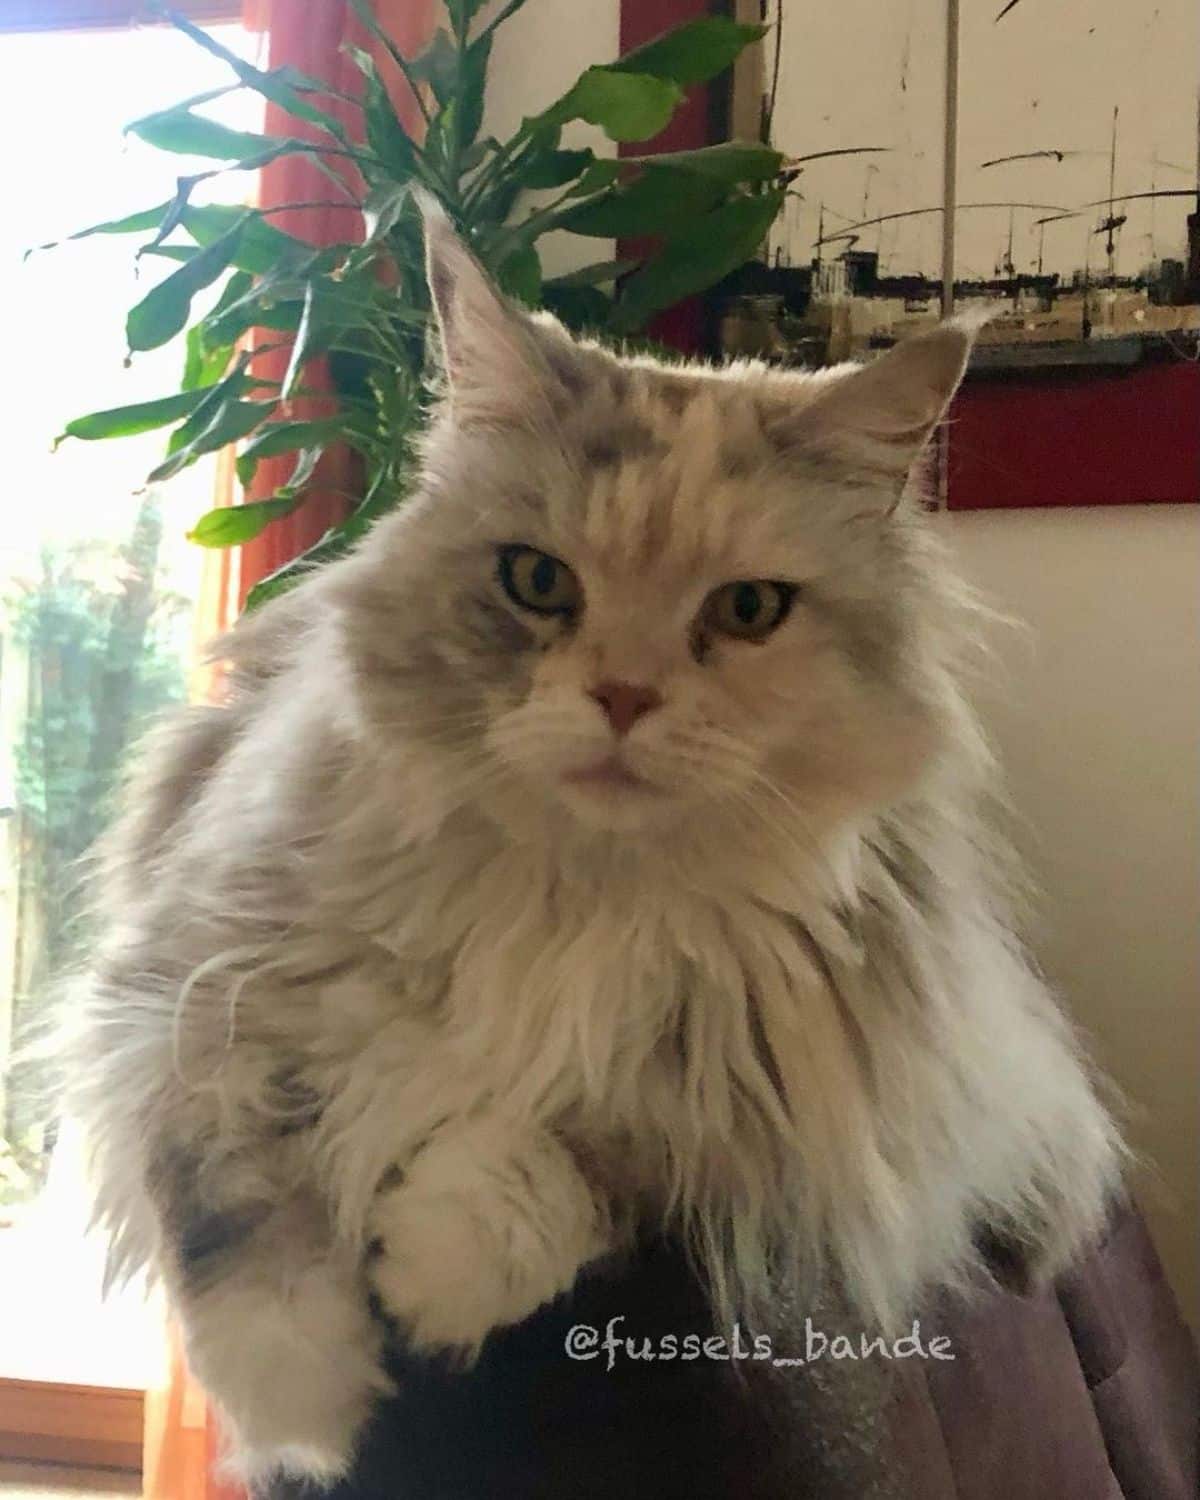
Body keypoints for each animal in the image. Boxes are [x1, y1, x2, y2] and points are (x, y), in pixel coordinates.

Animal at [60, 202, 1122, 1488]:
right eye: (535, 582)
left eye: (747, 611)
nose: (623, 697)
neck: (571, 900)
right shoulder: (180, 987)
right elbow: (233, 1218)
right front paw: (315, 1417)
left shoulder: (759, 1121)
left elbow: (572, 1164)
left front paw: (432, 1281)